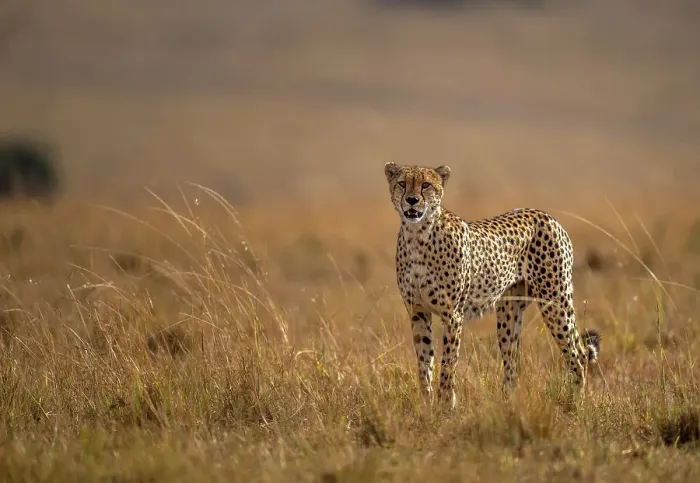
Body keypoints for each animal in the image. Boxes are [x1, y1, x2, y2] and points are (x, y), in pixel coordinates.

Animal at [384, 162, 601, 408]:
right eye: (402, 183)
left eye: (426, 184)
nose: (412, 200)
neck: (418, 235)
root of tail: (546, 215)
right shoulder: (418, 310)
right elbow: (424, 361)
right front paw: (426, 404)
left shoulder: (453, 314)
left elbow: (448, 362)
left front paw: (446, 405)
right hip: (508, 312)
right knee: (512, 360)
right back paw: (508, 404)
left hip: (555, 300)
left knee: (578, 353)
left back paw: (577, 402)